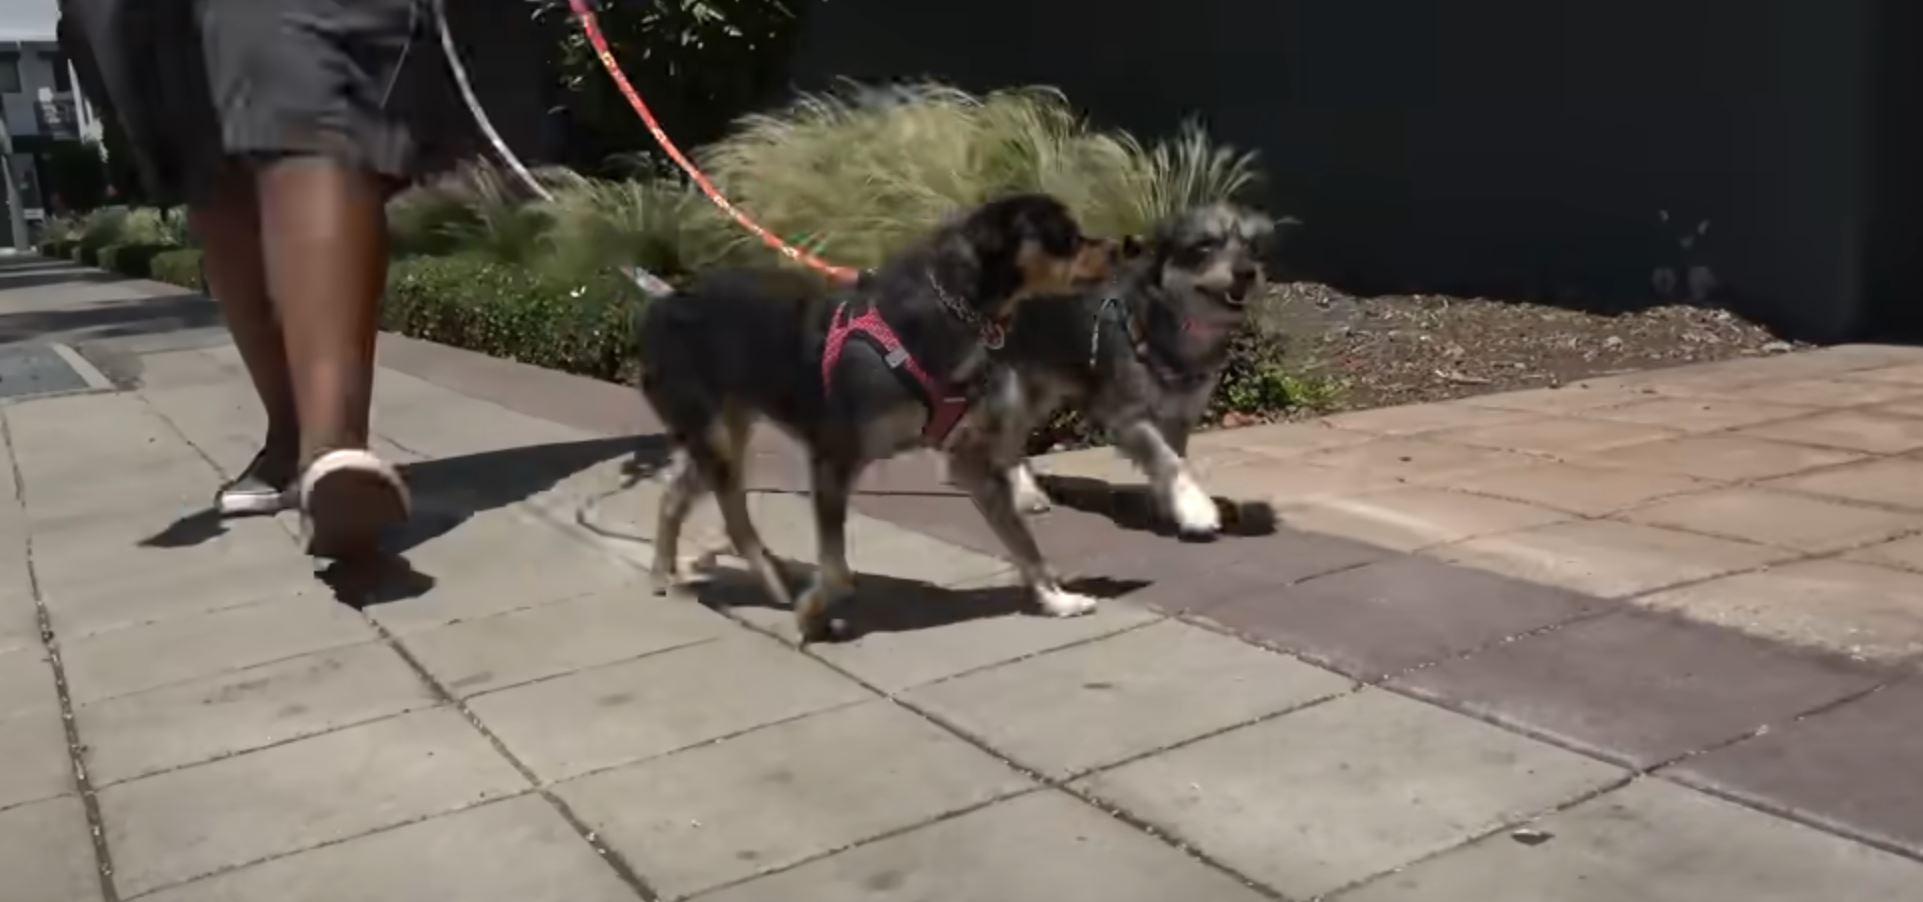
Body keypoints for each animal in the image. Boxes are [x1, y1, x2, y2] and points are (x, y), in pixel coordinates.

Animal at [634, 193, 1115, 634]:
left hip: (721, 432)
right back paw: (772, 581)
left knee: (673, 497)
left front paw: (1056, 600)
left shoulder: (971, 462)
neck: (952, 311)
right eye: (1066, 237)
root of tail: (666, 301)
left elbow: (1023, 542)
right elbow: (835, 570)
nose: (1117, 247)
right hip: (713, 434)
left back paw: (663, 575)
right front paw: (813, 610)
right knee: (734, 516)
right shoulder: (832, 458)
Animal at [953, 202, 1284, 542]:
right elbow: (1168, 460)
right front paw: (1196, 509)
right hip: (1015, 390)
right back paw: (1023, 493)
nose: (1246, 273)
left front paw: (1171, 503)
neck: (1174, 324)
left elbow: (1173, 457)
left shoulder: (1178, 416)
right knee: (1004, 443)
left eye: (1253, 247)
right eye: (1204, 244)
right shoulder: (1128, 416)